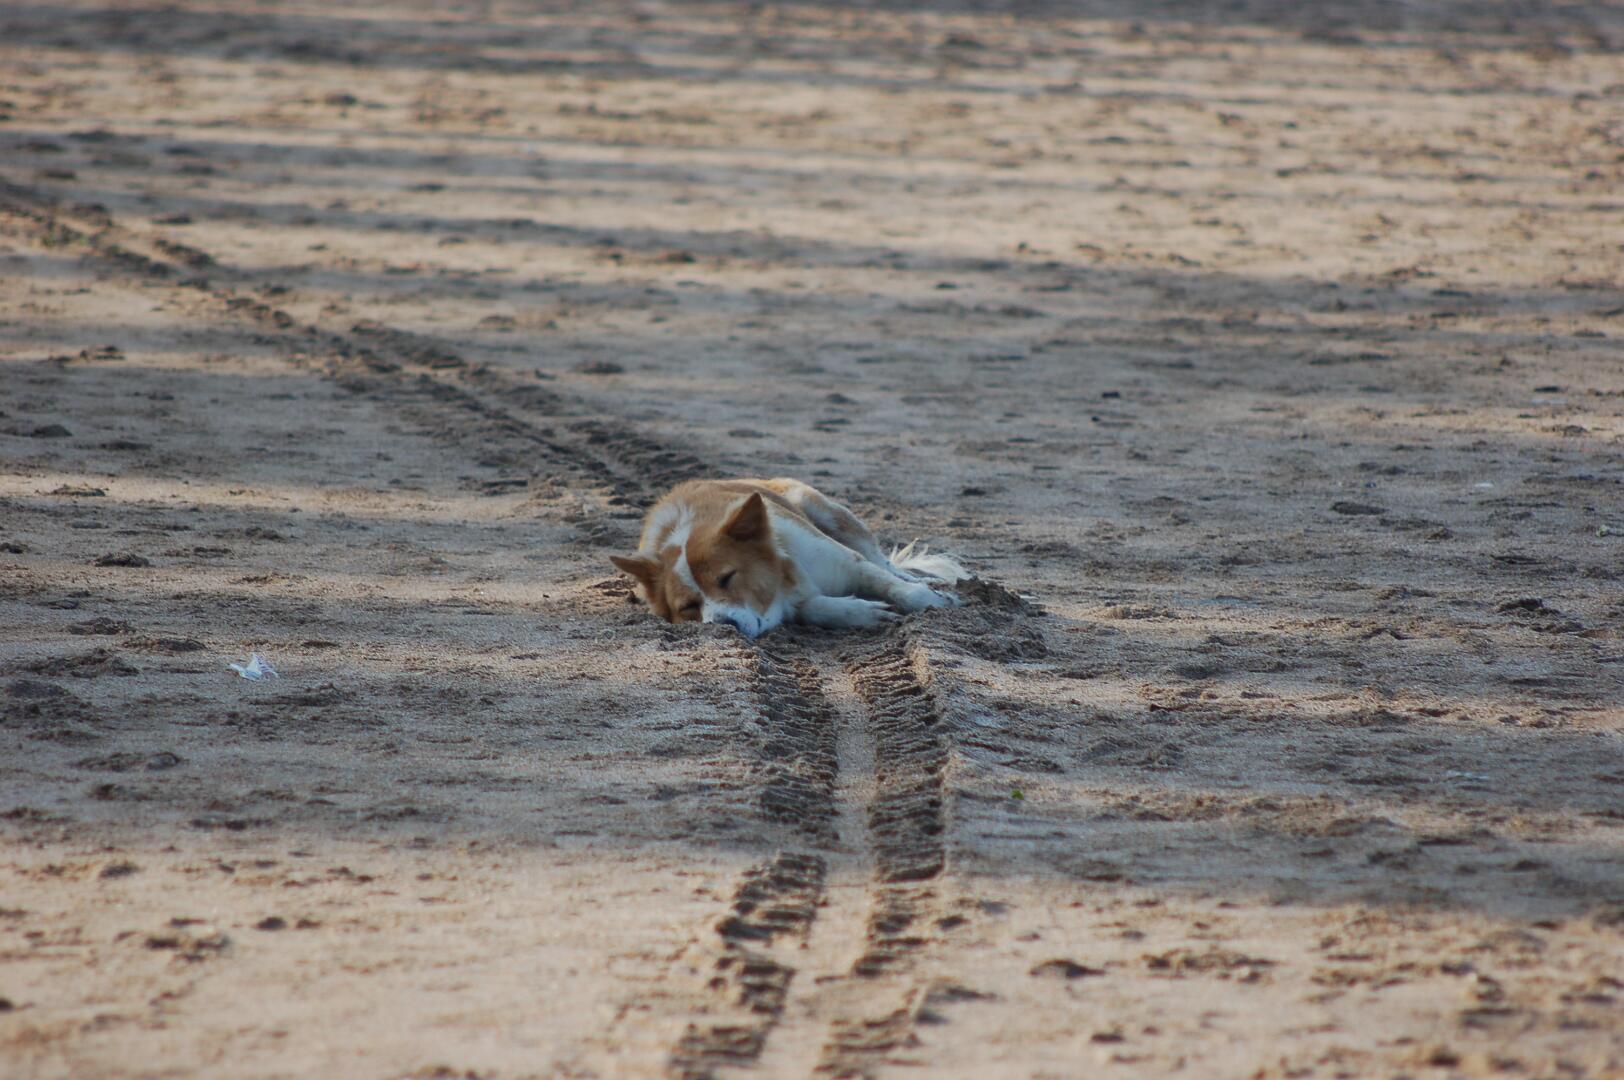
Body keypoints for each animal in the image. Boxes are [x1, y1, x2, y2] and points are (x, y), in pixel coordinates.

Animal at [610, 478, 967, 637]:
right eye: (688, 607)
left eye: (726, 577)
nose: (723, 627)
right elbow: (813, 609)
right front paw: (858, 612)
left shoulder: (847, 562)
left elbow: (892, 585)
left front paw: (932, 600)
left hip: (824, 510)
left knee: (886, 563)